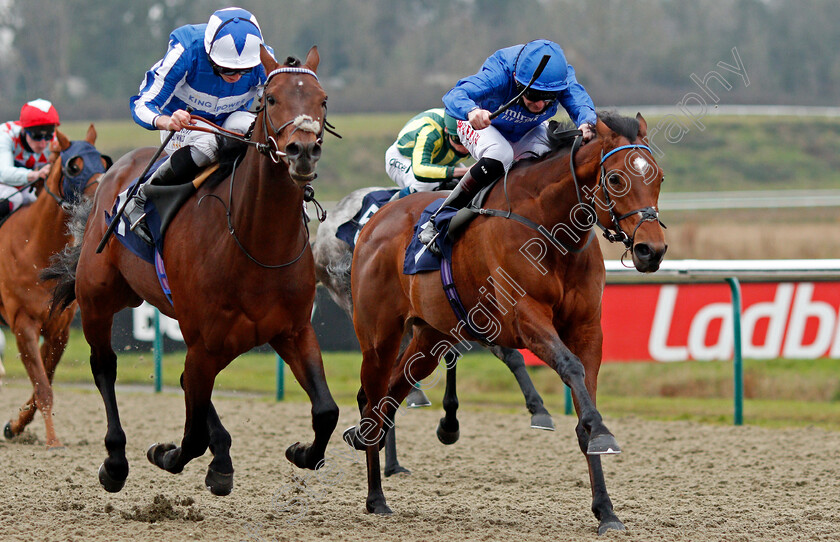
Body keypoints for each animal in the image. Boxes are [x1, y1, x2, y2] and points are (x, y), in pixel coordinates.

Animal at [0, 127, 108, 450]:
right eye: (74, 166)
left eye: (103, 161)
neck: (34, 247)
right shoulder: (23, 324)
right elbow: (42, 387)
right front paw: (52, 439)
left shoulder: (58, 328)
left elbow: (42, 383)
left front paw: (15, 426)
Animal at [45, 46, 338, 498]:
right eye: (272, 99)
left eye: (321, 100)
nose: (302, 152)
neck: (255, 243)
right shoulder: (205, 339)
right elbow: (192, 432)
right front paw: (164, 454)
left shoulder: (292, 331)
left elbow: (326, 411)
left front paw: (300, 451)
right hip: (98, 299)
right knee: (105, 367)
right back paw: (115, 462)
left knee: (188, 384)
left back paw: (221, 459)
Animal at [344, 113, 668, 536]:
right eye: (615, 179)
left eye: (659, 177)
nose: (651, 250)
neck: (551, 229)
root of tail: (372, 222)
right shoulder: (525, 319)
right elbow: (570, 367)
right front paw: (601, 434)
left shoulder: (587, 329)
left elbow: (586, 402)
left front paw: (606, 510)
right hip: (379, 334)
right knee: (371, 398)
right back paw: (375, 496)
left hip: (430, 336)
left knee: (391, 394)